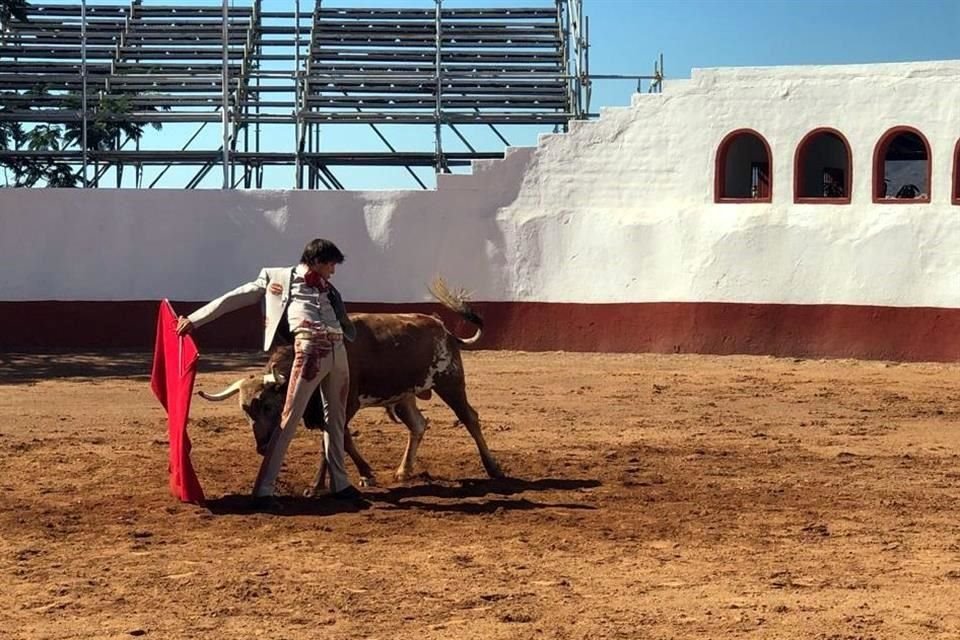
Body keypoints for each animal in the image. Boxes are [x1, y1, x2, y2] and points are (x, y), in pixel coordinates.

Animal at [199, 280, 506, 496]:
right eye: (244, 410)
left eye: (268, 405)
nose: (262, 446)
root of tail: (444, 329)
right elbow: (339, 439)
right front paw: (361, 474)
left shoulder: (346, 404)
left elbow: (334, 439)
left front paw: (319, 485)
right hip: (404, 396)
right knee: (418, 424)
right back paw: (403, 471)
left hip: (450, 381)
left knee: (469, 418)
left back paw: (493, 468)